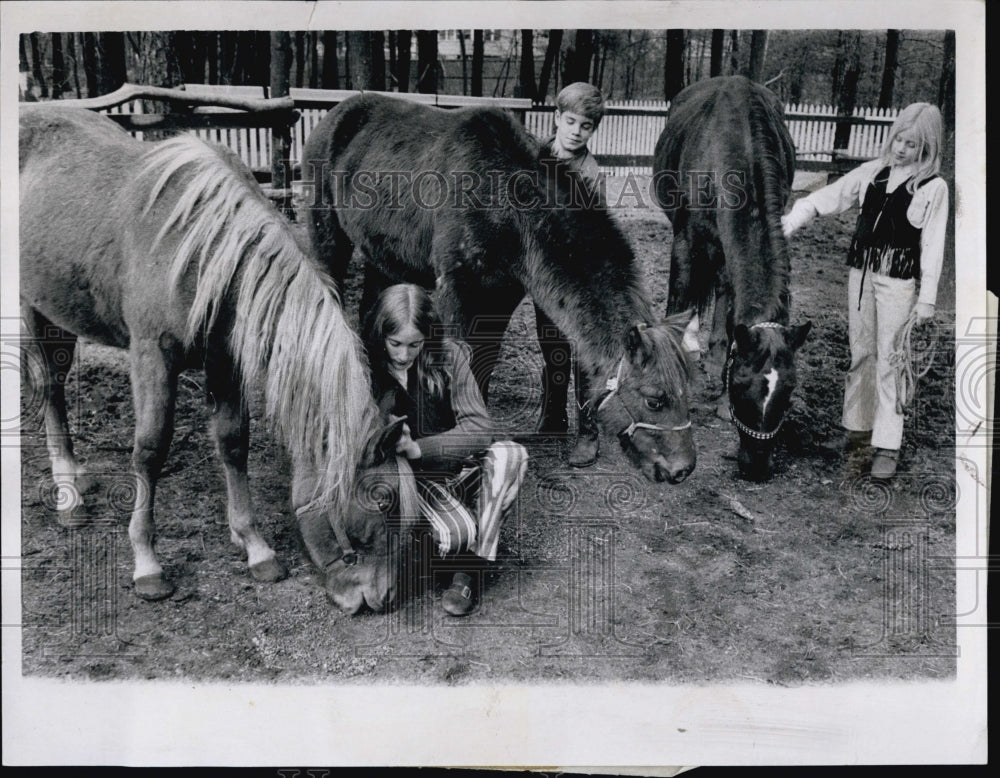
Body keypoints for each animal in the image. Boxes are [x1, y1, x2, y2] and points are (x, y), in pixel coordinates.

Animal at [19, 104, 418, 612]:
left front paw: (253, 544)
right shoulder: (152, 356)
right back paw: (69, 494)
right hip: (31, 309)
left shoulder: (226, 361)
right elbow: (150, 450)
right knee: (50, 389)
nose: (382, 598)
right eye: (384, 499)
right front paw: (147, 561)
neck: (202, 251)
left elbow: (233, 442)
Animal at [302, 94, 696, 482]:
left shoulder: (501, 297)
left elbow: (485, 366)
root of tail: (332, 117)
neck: (507, 206)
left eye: (686, 393)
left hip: (382, 257)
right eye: (654, 399)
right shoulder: (456, 291)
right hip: (328, 236)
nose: (681, 469)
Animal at [656, 77, 812, 478]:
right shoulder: (685, 243)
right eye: (742, 387)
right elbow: (675, 307)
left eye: (788, 393)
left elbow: (731, 320)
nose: (756, 466)